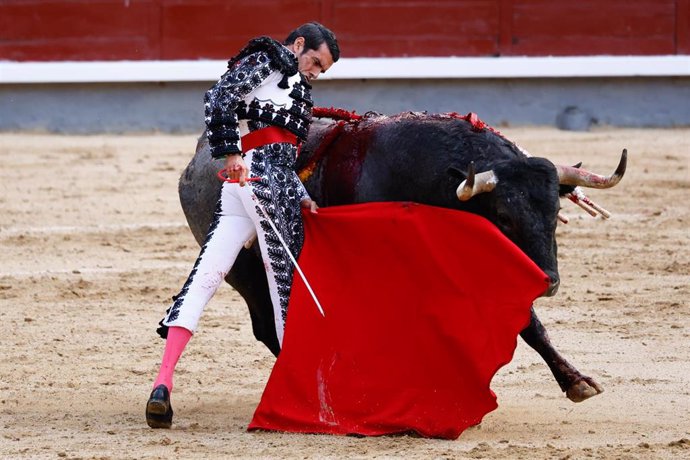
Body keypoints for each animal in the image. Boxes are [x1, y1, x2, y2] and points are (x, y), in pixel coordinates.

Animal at [177, 110, 624, 402]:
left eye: (554, 212)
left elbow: (528, 325)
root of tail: (198, 155)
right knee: (268, 326)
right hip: (245, 272)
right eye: (503, 216)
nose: (548, 281)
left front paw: (576, 382)